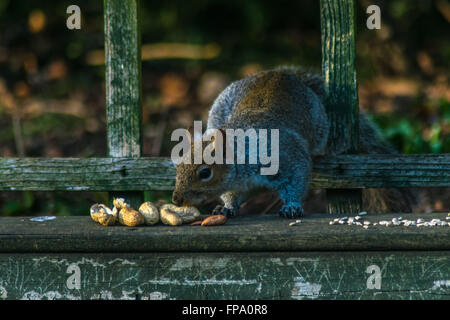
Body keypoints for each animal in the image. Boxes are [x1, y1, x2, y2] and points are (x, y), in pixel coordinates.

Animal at [173, 67, 414, 218]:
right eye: (179, 167)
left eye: (205, 173)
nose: (176, 199)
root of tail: (280, 74)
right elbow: (232, 195)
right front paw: (227, 207)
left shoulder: (284, 154)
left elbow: (297, 177)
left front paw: (292, 207)